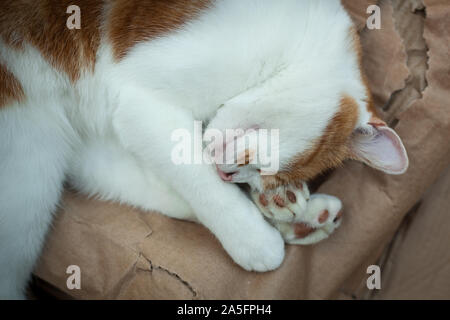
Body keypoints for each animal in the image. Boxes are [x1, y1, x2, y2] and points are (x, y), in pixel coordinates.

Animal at [0, 0, 408, 300]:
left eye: (263, 176)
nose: (228, 174)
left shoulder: (97, 133)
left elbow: (160, 187)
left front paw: (295, 215)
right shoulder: (138, 101)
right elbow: (193, 174)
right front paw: (256, 239)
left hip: (39, 160)